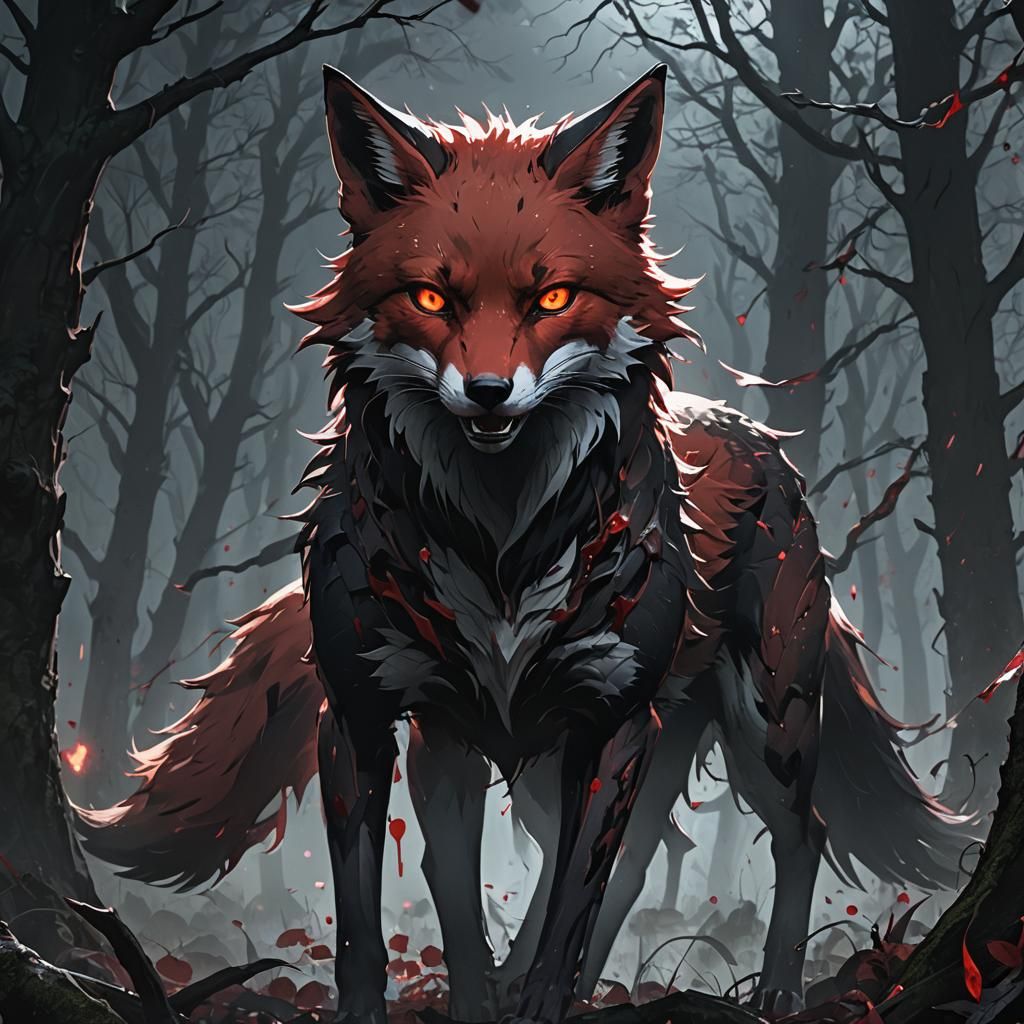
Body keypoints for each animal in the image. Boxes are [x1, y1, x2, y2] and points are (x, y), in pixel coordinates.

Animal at [78, 65, 974, 1024]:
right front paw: (458, 998)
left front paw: (545, 997)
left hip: (758, 724)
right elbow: (402, 911)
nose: (488, 393)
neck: (501, 543)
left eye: (551, 298)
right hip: (554, 763)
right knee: (634, 856)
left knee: (791, 834)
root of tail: (768, 445)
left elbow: (576, 894)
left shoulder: (614, 717)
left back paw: (772, 989)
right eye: (433, 298)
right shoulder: (386, 720)